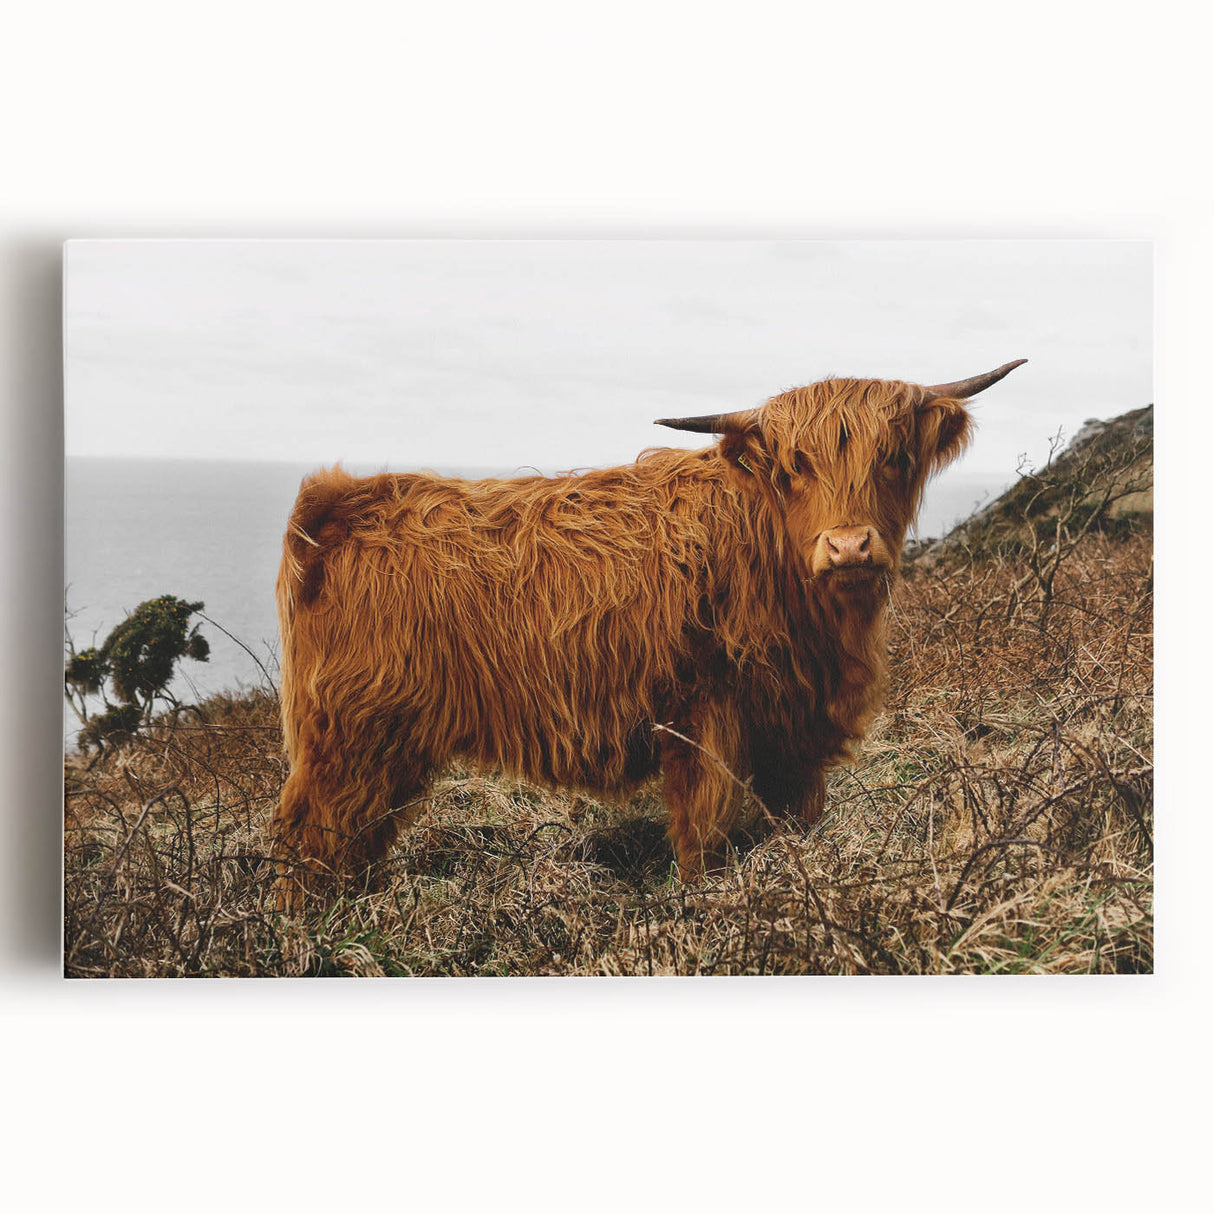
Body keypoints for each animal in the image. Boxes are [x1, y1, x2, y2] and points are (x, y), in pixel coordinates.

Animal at [272, 360, 1025, 901]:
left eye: (894, 457)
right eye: (795, 466)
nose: (848, 547)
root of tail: (339, 503)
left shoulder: (794, 732)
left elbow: (794, 822)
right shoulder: (703, 716)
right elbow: (705, 832)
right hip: (352, 734)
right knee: (311, 837)